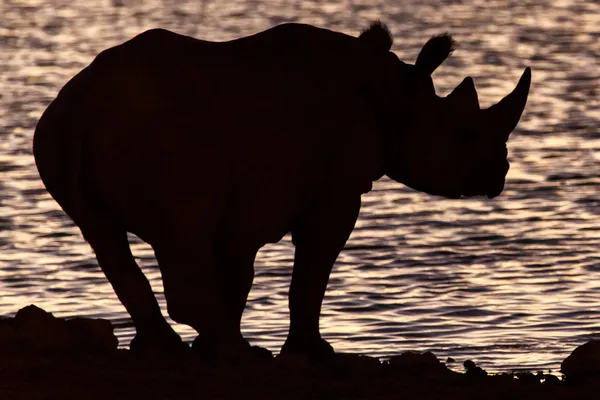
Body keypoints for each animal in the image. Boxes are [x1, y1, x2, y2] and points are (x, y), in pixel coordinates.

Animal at [32, 21, 528, 360]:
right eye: (464, 135)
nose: (500, 172)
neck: (397, 95)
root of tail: (81, 103)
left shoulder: (247, 198)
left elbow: (240, 274)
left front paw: (216, 346)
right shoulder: (336, 192)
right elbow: (311, 273)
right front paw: (313, 352)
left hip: (55, 135)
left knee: (103, 235)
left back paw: (172, 349)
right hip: (161, 138)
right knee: (180, 234)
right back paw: (234, 353)